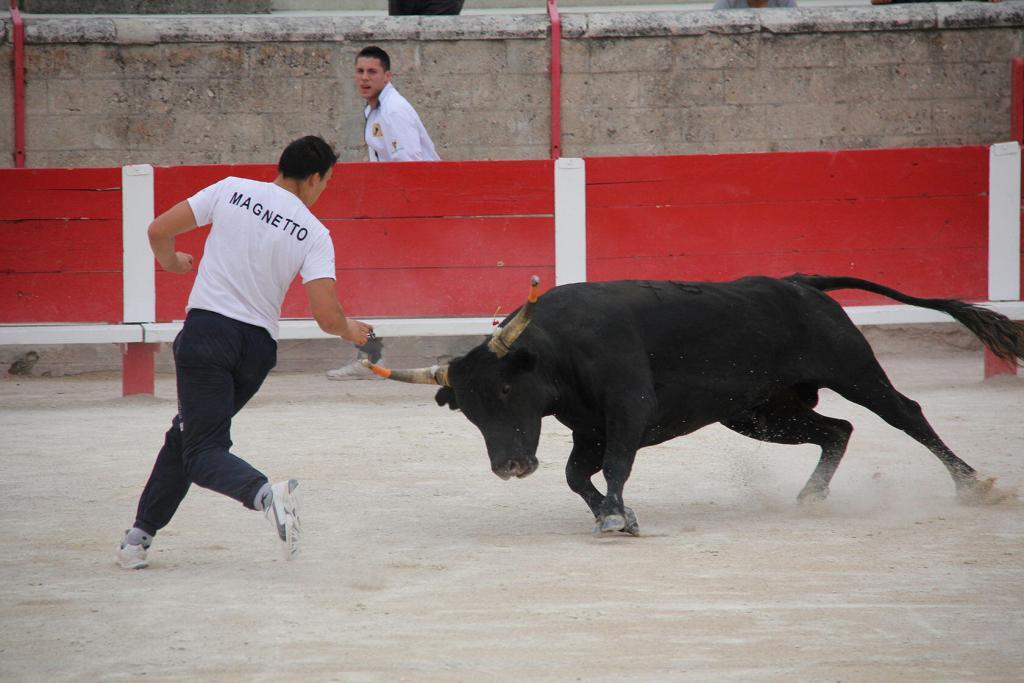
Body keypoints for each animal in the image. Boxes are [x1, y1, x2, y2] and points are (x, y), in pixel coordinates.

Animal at [370, 274, 1024, 536]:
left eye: (506, 392)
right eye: (470, 412)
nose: (509, 466)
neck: (560, 351)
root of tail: (799, 282)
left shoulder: (628, 408)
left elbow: (615, 467)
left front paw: (617, 518)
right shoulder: (588, 429)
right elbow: (577, 475)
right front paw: (613, 515)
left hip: (854, 370)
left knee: (905, 413)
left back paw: (974, 486)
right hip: (757, 413)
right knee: (835, 428)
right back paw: (810, 498)